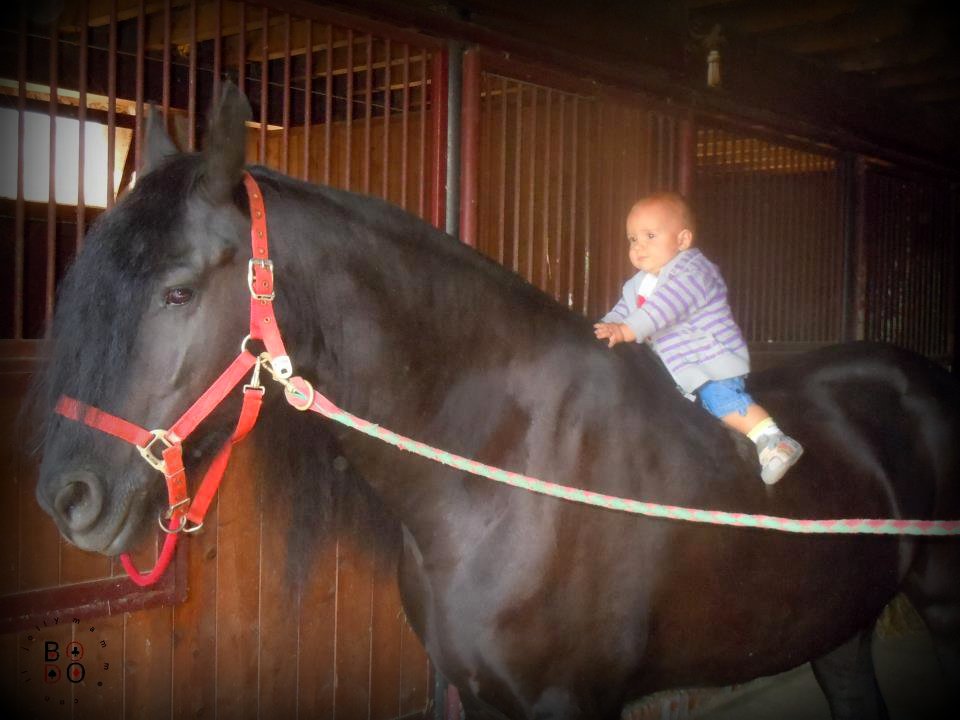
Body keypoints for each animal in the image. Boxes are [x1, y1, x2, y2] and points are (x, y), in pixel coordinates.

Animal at [30, 83, 960, 720]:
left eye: (179, 292)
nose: (68, 496)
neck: (505, 472)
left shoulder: (571, 703)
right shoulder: (481, 693)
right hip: (839, 634)